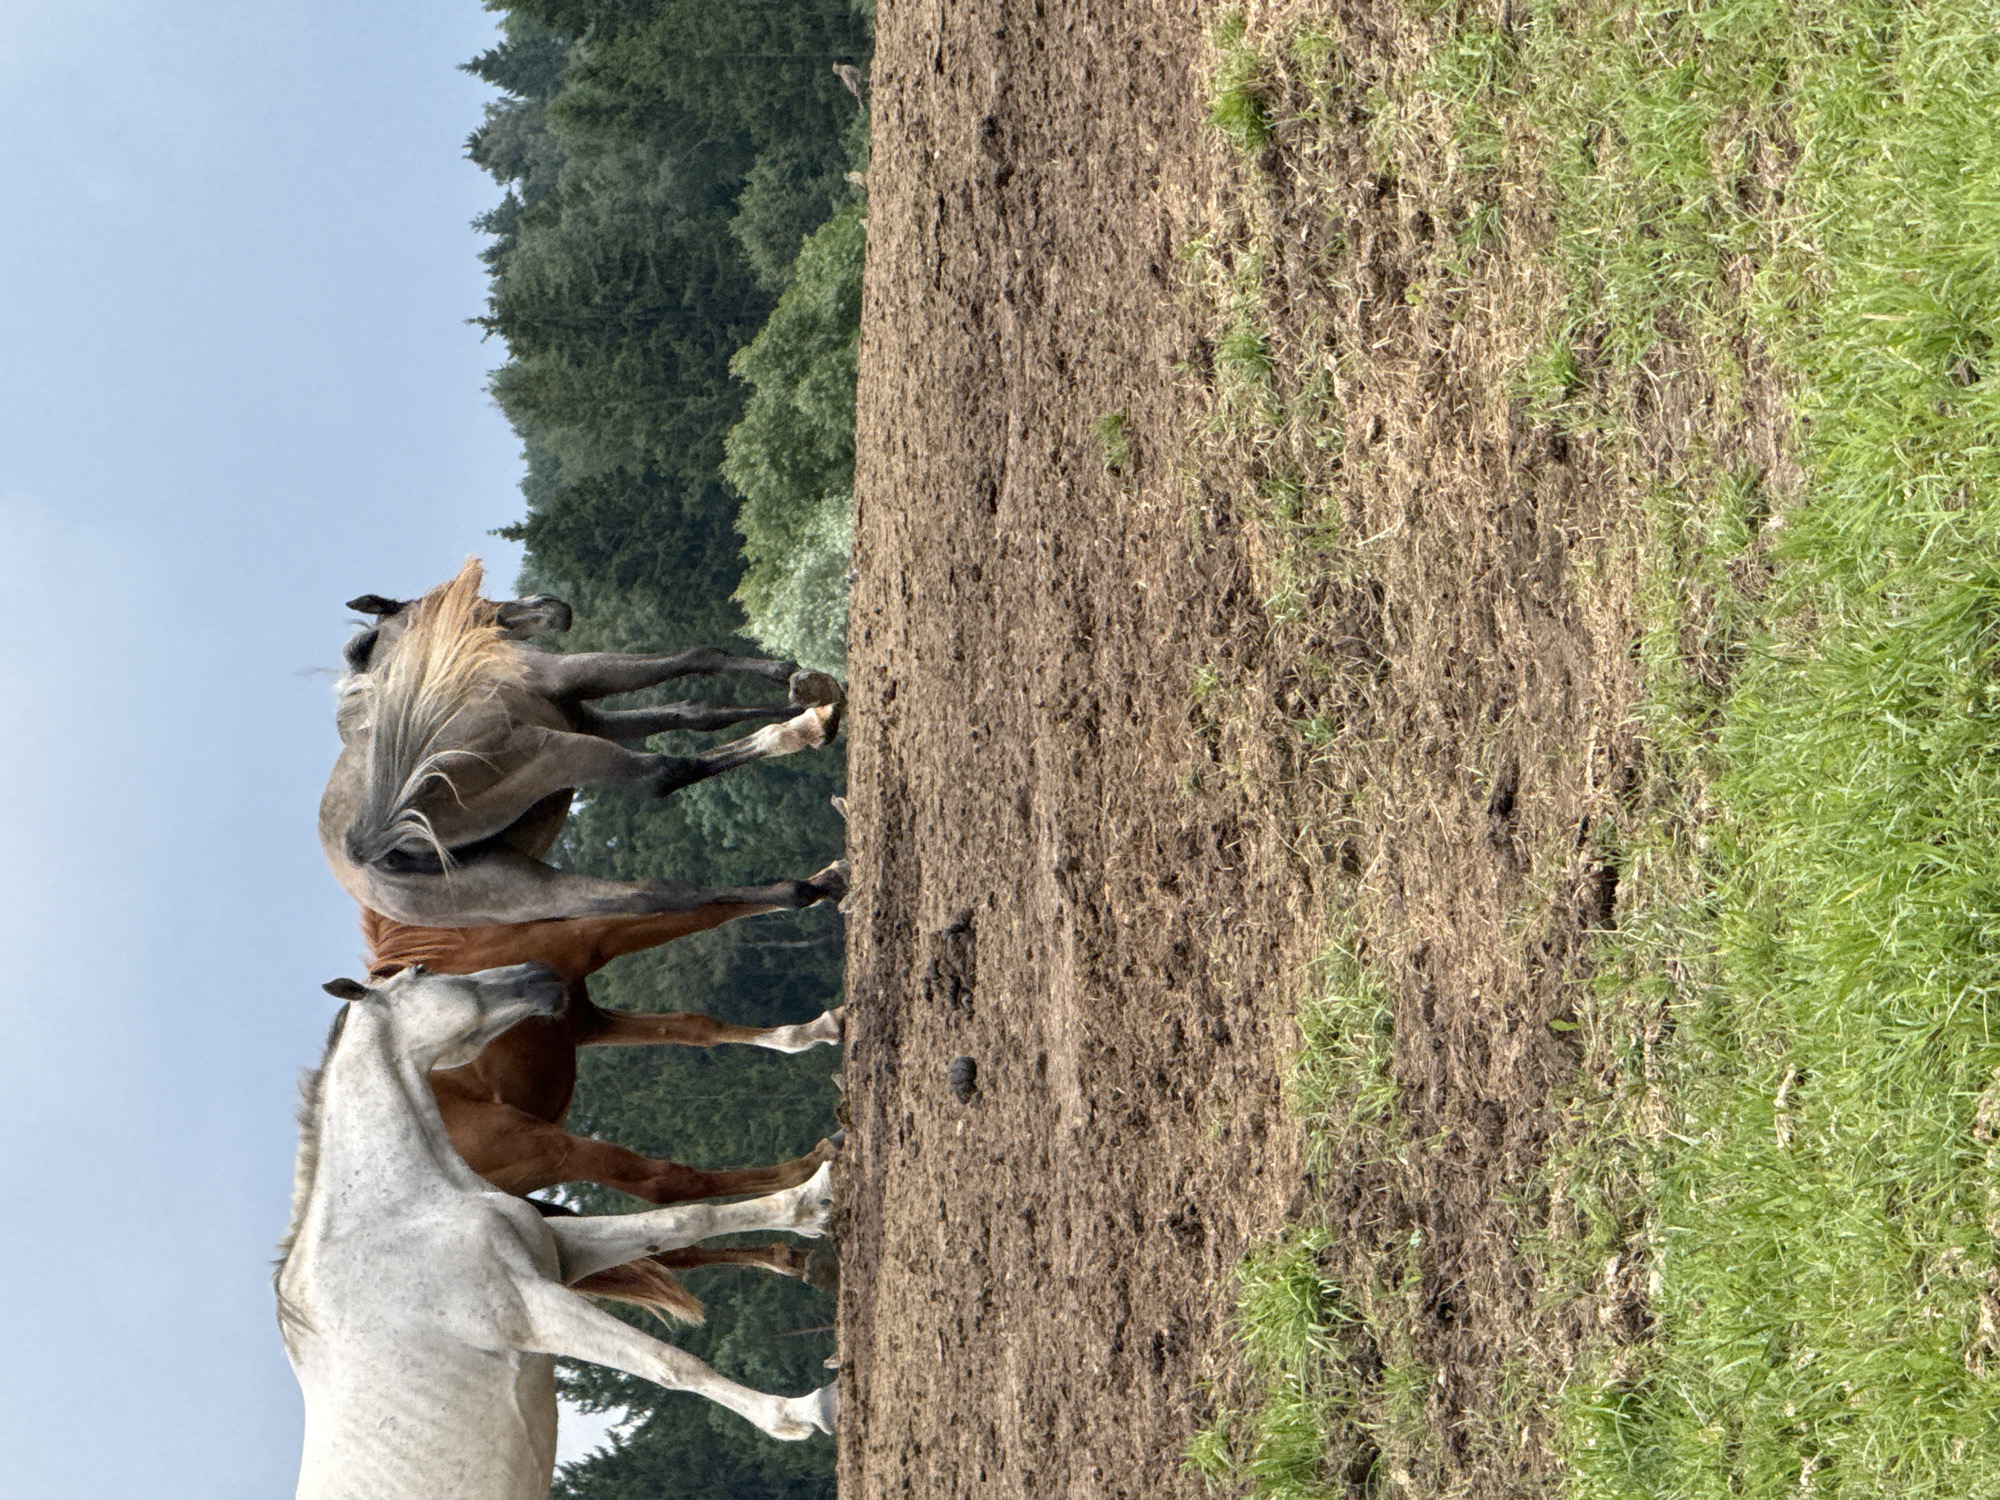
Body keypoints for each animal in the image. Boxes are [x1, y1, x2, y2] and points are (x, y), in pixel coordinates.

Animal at [278, 964, 838, 1500]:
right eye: (420, 971)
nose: (539, 972)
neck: (397, 1216)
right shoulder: (534, 1310)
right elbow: (673, 1365)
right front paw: (804, 1412)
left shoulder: (560, 1255)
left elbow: (685, 1221)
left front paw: (812, 1201)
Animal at [321, 559, 847, 928]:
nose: (548, 607)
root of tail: (363, 842)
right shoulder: (578, 679)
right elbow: (700, 657)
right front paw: (798, 681)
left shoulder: (588, 717)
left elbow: (697, 713)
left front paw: (807, 692)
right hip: (557, 752)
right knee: (665, 775)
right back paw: (807, 738)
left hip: (520, 887)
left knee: (655, 896)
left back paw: (813, 884)